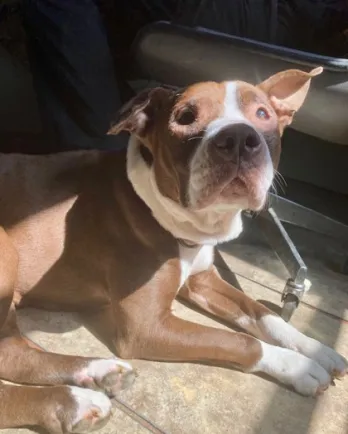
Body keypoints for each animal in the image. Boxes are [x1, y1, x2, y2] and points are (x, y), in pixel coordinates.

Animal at [0, 66, 348, 432]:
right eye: (185, 117)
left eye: (263, 114)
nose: (239, 139)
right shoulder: (147, 325)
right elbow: (239, 340)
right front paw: (295, 366)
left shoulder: (203, 281)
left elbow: (263, 314)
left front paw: (313, 349)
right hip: (7, 251)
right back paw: (70, 403)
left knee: (15, 351)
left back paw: (97, 373)